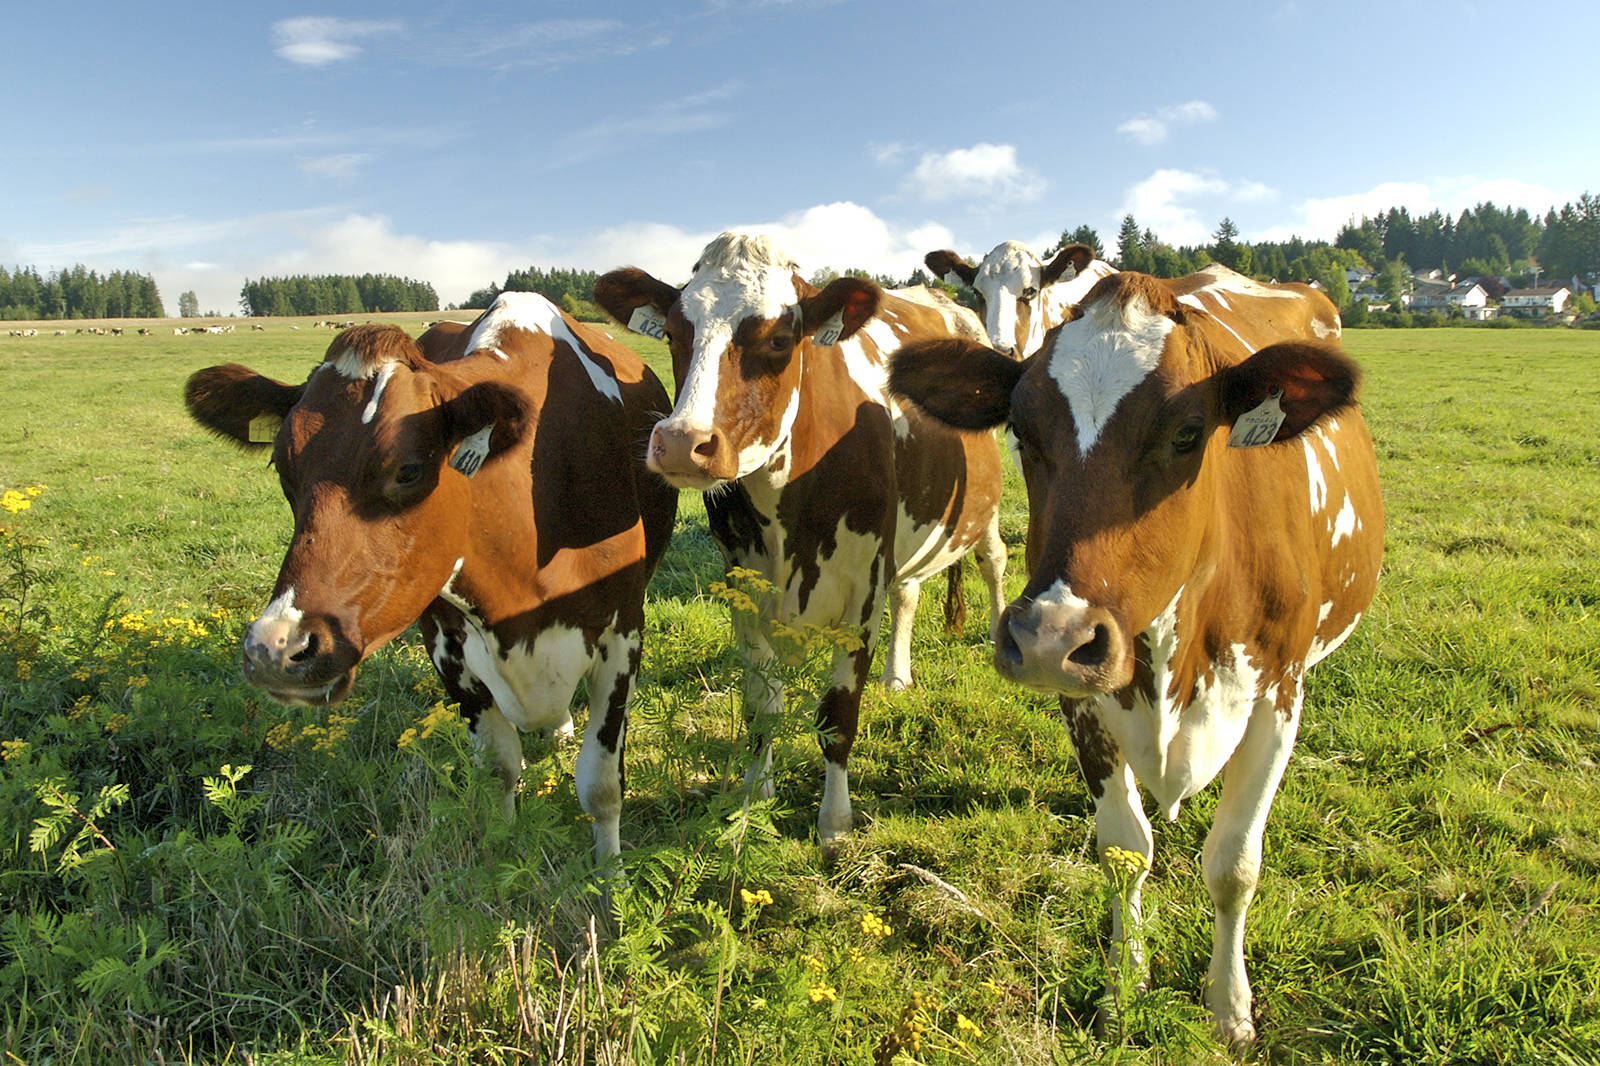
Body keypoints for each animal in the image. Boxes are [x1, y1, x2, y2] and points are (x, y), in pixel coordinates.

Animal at [184, 291, 678, 864]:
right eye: (283, 469)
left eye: (409, 470)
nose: (275, 648)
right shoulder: (447, 646)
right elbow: (498, 770)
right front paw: (502, 852)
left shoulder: (624, 632)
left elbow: (600, 785)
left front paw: (609, 872)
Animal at [595, 235, 1004, 845]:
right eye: (671, 333)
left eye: (780, 340)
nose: (682, 441)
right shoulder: (742, 585)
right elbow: (762, 706)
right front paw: (752, 796)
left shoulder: (862, 591)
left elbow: (837, 717)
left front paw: (834, 823)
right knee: (909, 592)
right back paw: (897, 676)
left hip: (987, 509)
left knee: (993, 563)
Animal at [896, 260, 1382, 1043]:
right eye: (1022, 431)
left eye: (1188, 432)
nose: (1051, 638)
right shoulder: (1085, 703)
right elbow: (1125, 850)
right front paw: (1126, 988)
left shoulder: (1279, 696)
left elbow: (1234, 865)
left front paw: (1228, 1007)